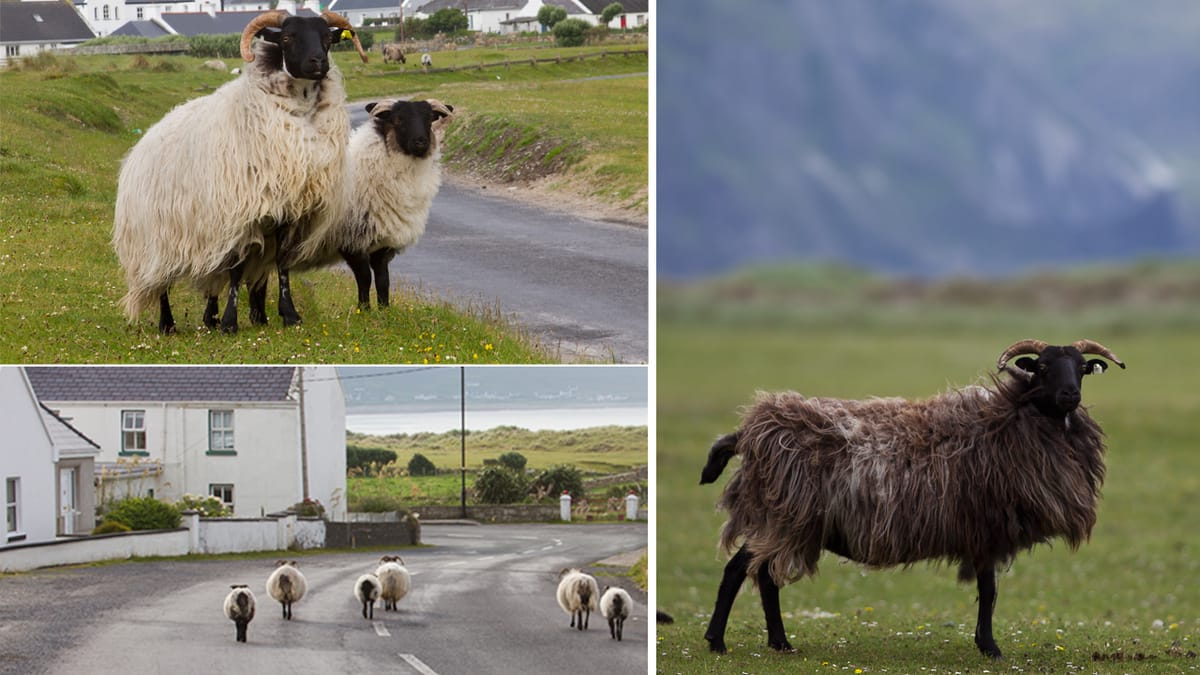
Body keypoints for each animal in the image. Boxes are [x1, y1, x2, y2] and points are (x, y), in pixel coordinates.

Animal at [111, 10, 367, 334]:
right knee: (161, 283)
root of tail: (142, 142)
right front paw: (231, 322)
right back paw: (167, 324)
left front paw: (288, 315)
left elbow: (282, 266)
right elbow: (235, 270)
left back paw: (215, 318)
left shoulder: (288, 213)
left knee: (213, 278)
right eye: (287, 37)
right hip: (158, 238)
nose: (318, 62)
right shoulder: (238, 213)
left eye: (327, 38)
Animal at [699, 339, 1126, 659]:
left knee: (764, 575)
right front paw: (990, 647)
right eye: (1043, 367)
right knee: (739, 570)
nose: (1070, 394)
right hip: (785, 515)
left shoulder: (983, 530)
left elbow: (987, 591)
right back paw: (718, 642)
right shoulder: (986, 528)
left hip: (787, 520)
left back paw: (779, 643)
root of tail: (751, 429)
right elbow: (988, 592)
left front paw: (986, 644)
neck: (1008, 420)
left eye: (1081, 368)